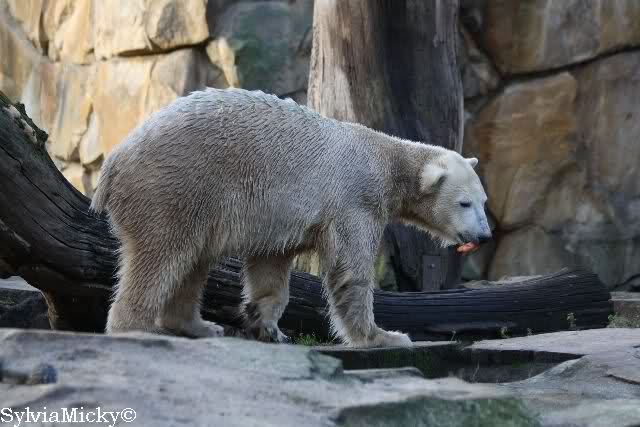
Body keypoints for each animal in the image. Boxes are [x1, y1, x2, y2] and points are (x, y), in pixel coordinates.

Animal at [90, 87, 491, 348]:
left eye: (484, 202)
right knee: (162, 255)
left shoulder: (281, 217)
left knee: (192, 261)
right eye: (464, 203)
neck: (386, 159)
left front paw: (265, 324)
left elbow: (270, 265)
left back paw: (200, 326)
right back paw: (137, 327)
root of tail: (114, 161)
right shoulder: (355, 199)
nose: (484, 236)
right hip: (177, 185)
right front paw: (385, 336)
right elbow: (350, 270)